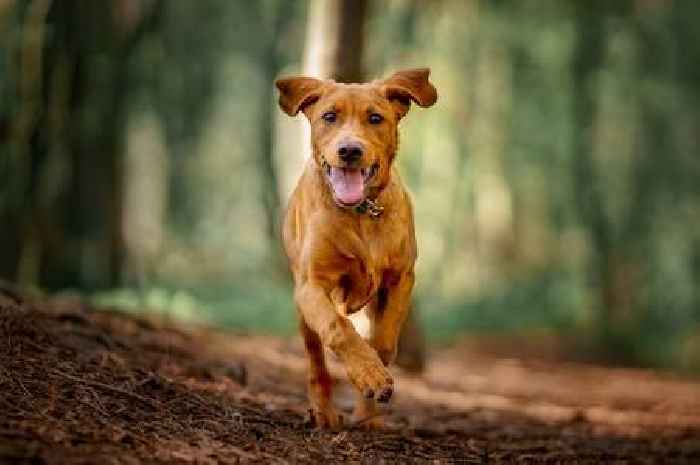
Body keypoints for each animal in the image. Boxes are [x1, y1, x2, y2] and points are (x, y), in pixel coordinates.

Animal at [274, 68, 434, 428]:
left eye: (375, 118)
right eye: (329, 117)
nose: (349, 150)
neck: (360, 213)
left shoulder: (401, 278)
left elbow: (384, 340)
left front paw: (374, 375)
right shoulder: (311, 286)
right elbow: (338, 329)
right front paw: (368, 374)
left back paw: (366, 415)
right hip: (303, 314)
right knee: (317, 364)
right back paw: (324, 412)